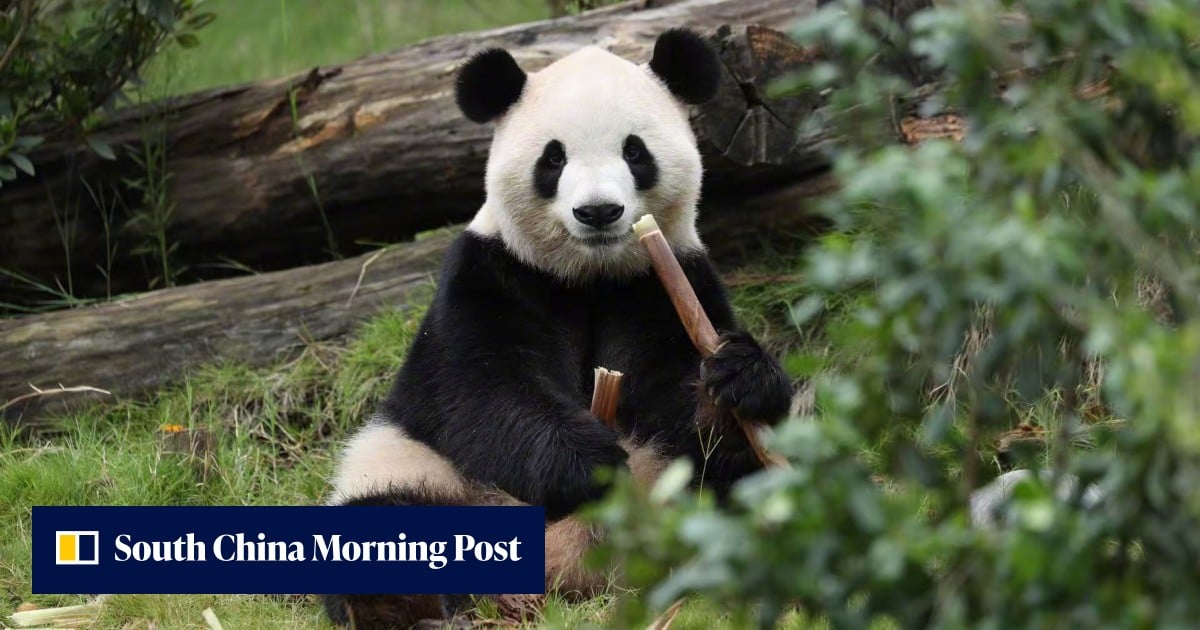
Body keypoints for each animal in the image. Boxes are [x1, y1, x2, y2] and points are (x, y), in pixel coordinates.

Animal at [321, 29, 794, 629]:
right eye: (553, 157)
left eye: (634, 151)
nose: (598, 212)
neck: (590, 276)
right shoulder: (490, 274)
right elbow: (479, 389)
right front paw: (586, 464)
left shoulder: (664, 281)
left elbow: (679, 399)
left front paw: (736, 380)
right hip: (414, 466)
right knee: (381, 525)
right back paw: (393, 604)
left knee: (746, 489)